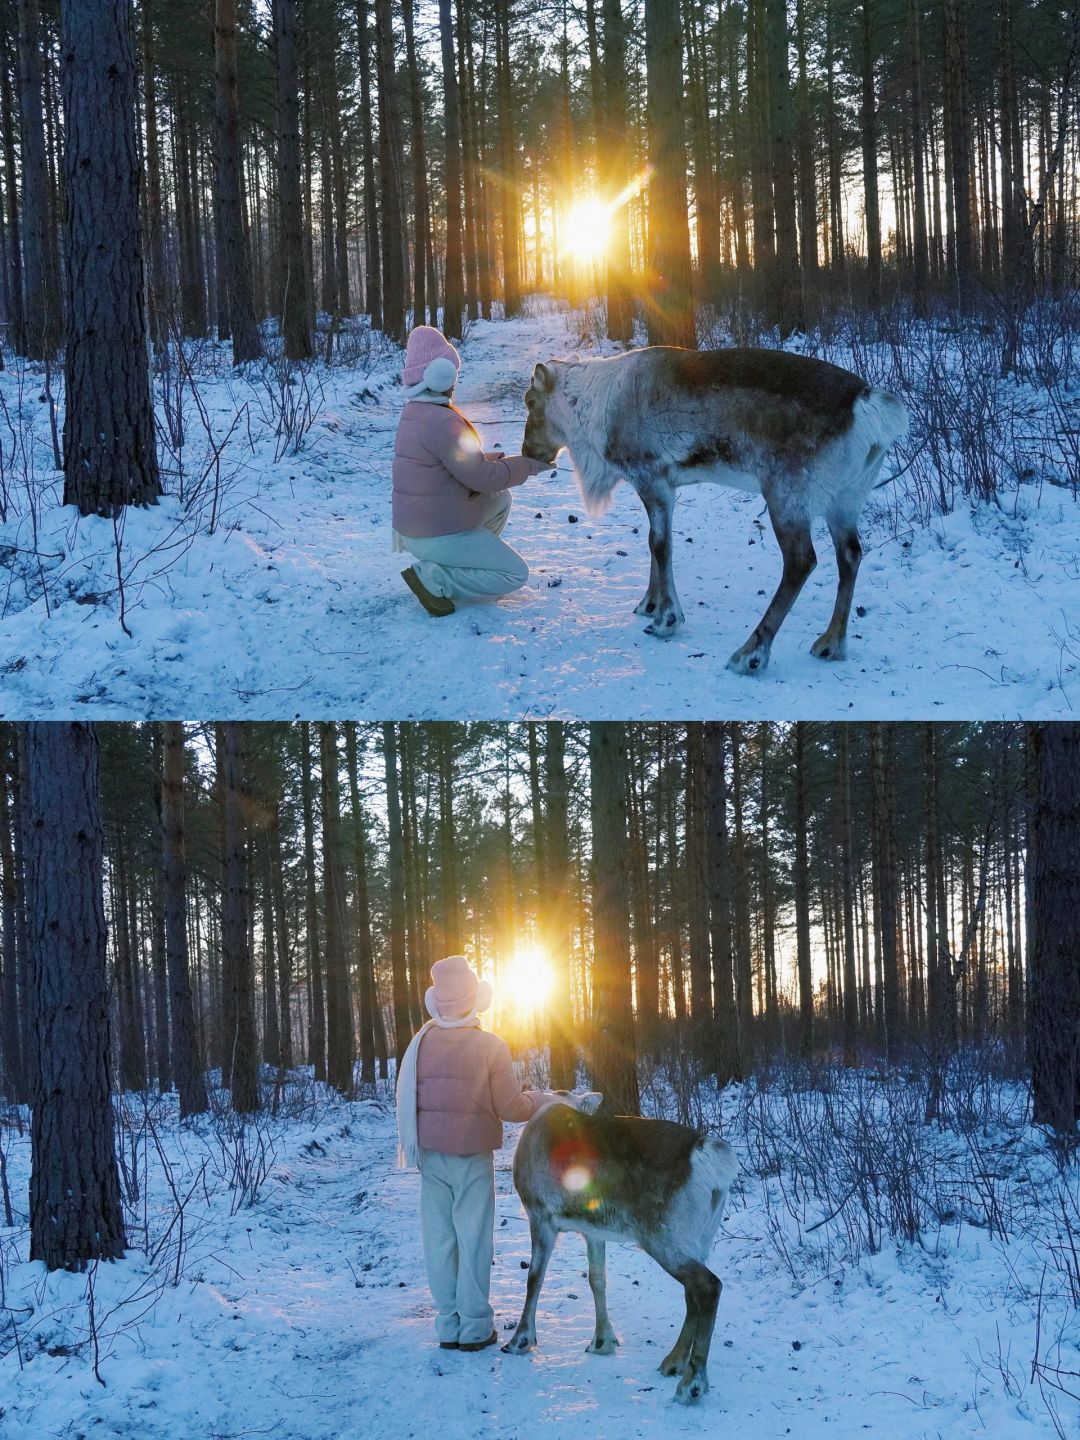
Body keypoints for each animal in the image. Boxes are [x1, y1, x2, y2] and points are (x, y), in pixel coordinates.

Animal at [503, 1094, 738, 1405]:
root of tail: (708, 1154)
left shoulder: (540, 1216)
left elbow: (534, 1279)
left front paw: (520, 1340)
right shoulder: (592, 1230)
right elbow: (597, 1279)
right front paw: (602, 1341)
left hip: (664, 1238)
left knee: (708, 1286)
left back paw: (691, 1384)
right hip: (697, 1239)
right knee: (693, 1295)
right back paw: (673, 1362)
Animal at [522, 346, 908, 674]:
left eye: (530, 401)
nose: (527, 451)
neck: (592, 406)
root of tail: (870, 406)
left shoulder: (652, 477)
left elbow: (660, 545)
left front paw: (666, 619)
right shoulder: (663, 486)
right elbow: (655, 543)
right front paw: (649, 604)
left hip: (787, 494)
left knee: (801, 561)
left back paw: (750, 653)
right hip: (846, 499)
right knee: (851, 555)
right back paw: (831, 643)